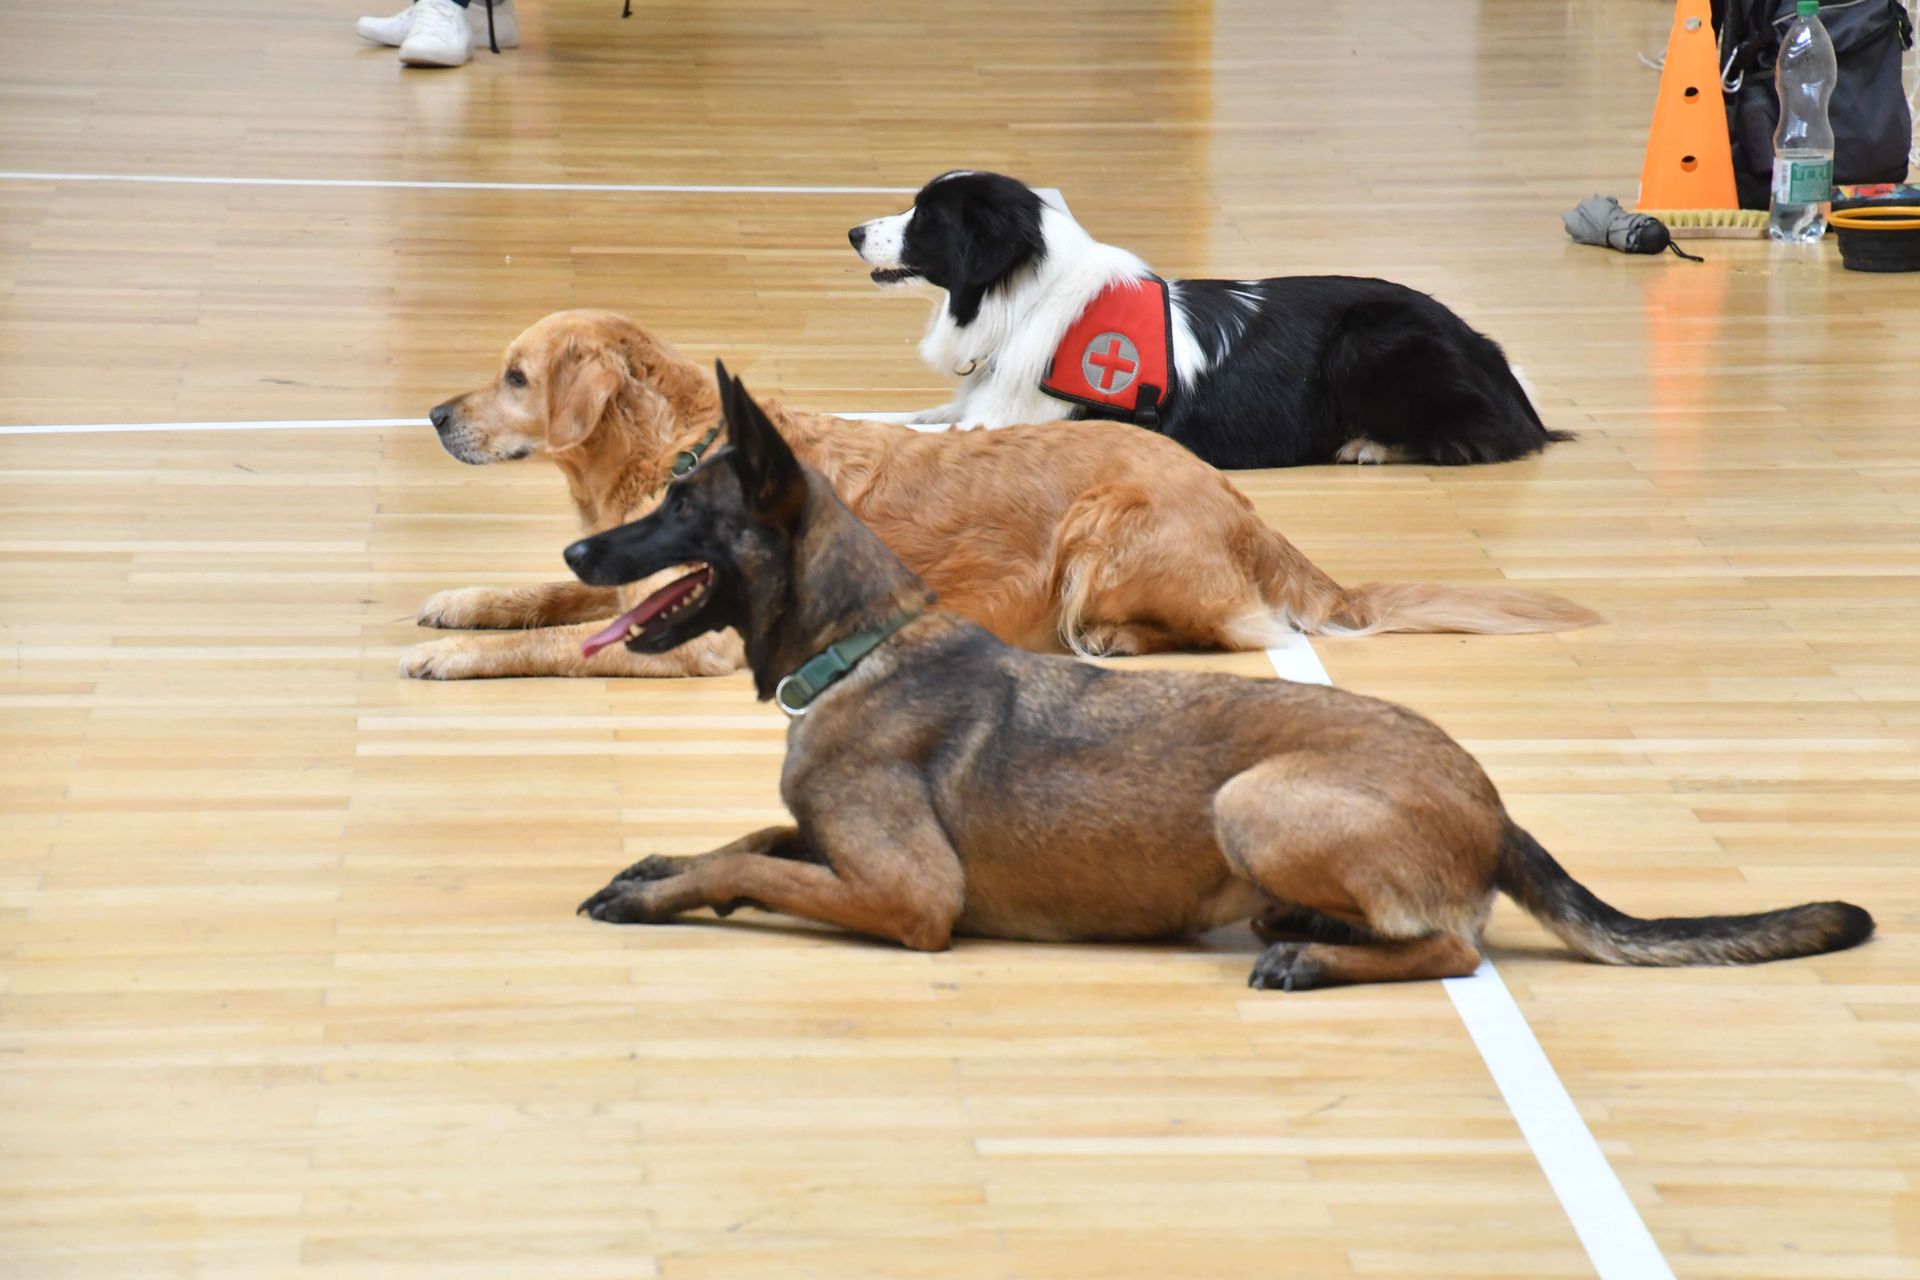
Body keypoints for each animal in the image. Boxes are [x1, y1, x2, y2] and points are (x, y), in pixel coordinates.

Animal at [403, 309, 1599, 680]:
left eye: (515, 378)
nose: (434, 414)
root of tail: (1248, 509)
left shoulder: (697, 646)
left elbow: (553, 642)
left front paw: (456, 658)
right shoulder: (630, 585)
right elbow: (542, 599)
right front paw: (457, 605)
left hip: (1101, 531)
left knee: (1239, 631)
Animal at [564, 365, 1872, 988]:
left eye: (681, 504)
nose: (576, 557)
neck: (860, 644)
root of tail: (1494, 803)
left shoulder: (910, 896)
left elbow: (753, 862)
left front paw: (661, 890)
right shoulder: (831, 839)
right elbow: (752, 832)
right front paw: (657, 861)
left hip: (1254, 798)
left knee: (1454, 947)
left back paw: (1309, 953)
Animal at [848, 170, 1569, 469]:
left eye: (926, 219)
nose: (853, 232)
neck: (1020, 297)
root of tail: (1483, 346)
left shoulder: (1018, 420)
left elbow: (908, 434)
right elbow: (896, 417)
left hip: (1372, 339)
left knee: (1486, 435)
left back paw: (1370, 444)